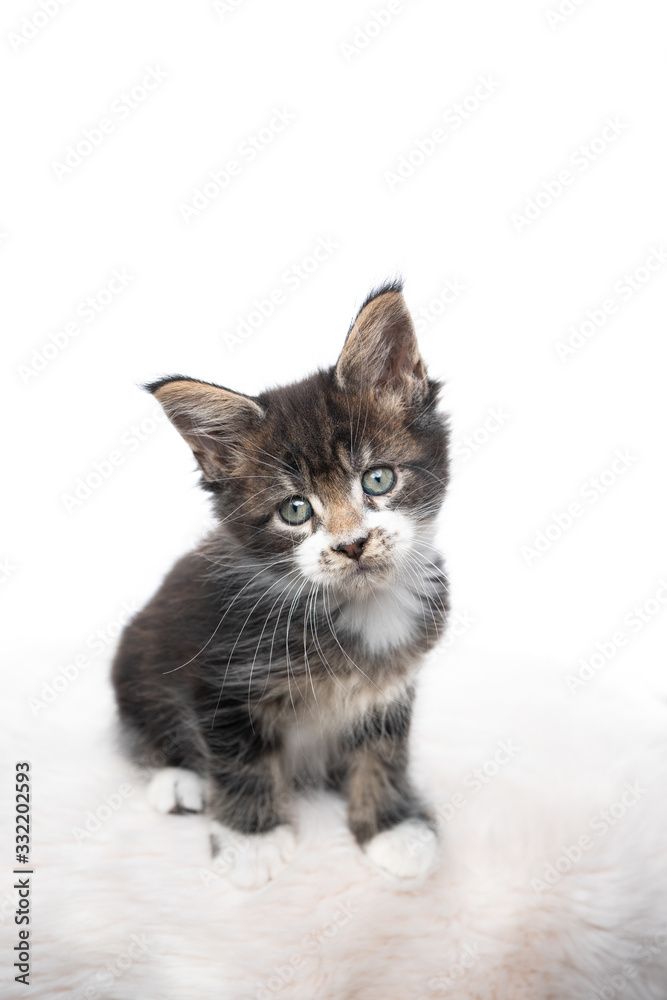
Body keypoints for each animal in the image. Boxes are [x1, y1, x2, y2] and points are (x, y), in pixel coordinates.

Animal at [113, 280, 448, 892]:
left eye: (378, 479)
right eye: (295, 510)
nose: (352, 544)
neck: (353, 609)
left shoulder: (394, 683)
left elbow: (384, 751)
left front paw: (392, 827)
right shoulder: (217, 676)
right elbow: (239, 758)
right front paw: (252, 840)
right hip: (137, 654)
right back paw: (179, 780)